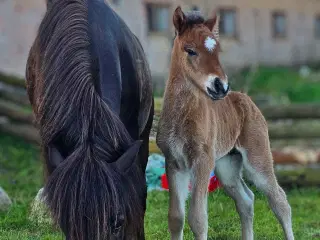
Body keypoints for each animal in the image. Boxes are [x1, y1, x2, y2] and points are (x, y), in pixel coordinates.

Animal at [156, 6, 294, 240]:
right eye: (190, 50)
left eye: (217, 51)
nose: (220, 86)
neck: (181, 117)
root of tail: (246, 98)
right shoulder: (173, 162)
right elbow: (176, 218)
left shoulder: (202, 161)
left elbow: (198, 219)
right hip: (227, 166)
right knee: (246, 200)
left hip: (257, 158)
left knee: (279, 200)